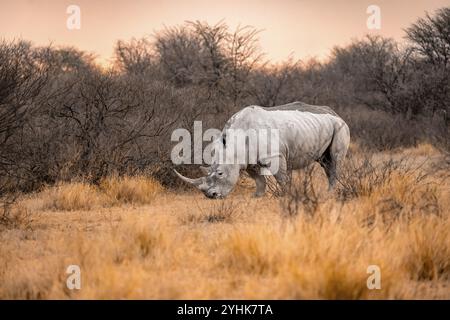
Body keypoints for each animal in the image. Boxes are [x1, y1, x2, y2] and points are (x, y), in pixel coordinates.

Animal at [174, 101, 350, 199]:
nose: (211, 196)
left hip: (340, 127)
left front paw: (285, 195)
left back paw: (330, 193)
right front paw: (257, 196)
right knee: (325, 162)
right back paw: (329, 191)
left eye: (220, 174)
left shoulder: (274, 155)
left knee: (335, 160)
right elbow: (259, 179)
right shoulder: (246, 160)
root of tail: (336, 113)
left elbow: (282, 178)